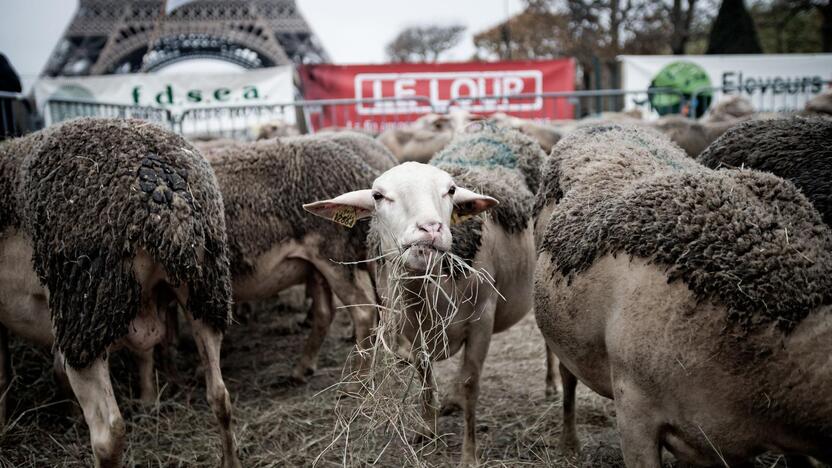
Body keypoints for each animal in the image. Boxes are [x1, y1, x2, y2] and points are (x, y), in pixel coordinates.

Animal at [0, 118, 240, 468]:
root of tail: (165, 189)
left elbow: (5, 373)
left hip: (85, 313)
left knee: (109, 433)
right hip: (205, 292)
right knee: (220, 395)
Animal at [306, 126, 544, 466]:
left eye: (451, 190)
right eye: (378, 196)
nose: (431, 229)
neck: (431, 296)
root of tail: (500, 128)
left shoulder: (482, 320)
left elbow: (471, 384)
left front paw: (469, 455)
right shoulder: (413, 330)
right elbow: (424, 376)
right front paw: (426, 429)